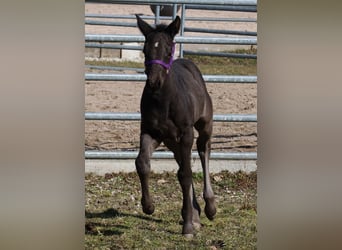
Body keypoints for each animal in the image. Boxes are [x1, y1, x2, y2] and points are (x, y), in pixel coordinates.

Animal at [135, 14, 215, 237]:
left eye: (168, 48)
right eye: (145, 49)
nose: (154, 81)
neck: (163, 101)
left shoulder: (186, 133)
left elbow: (186, 174)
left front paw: (188, 227)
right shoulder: (150, 132)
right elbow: (142, 163)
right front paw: (148, 206)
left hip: (204, 125)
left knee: (203, 150)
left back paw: (210, 207)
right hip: (172, 140)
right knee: (182, 162)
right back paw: (196, 214)